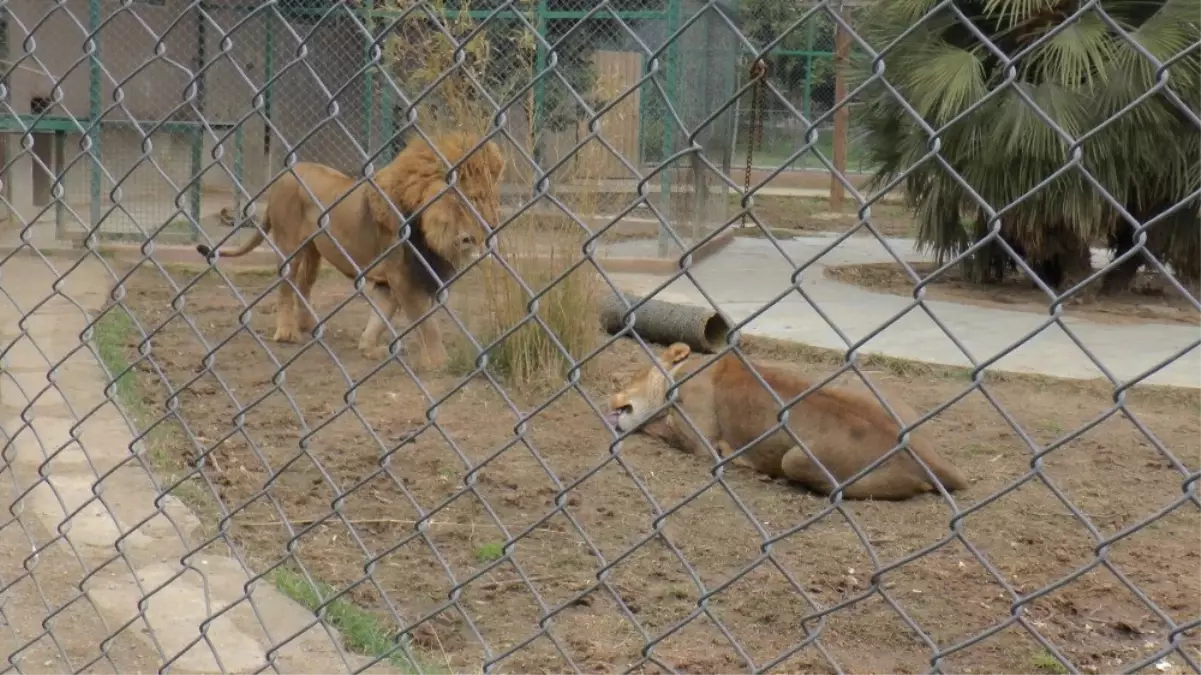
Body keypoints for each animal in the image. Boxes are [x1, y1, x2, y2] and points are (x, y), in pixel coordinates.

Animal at [194, 130, 504, 367]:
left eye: (487, 199)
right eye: (465, 200)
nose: (485, 231)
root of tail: (284, 175)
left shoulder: (392, 282)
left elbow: (380, 316)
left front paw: (369, 347)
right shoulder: (405, 278)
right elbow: (429, 326)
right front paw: (439, 363)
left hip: (314, 251)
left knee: (304, 285)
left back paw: (309, 324)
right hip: (290, 245)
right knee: (286, 285)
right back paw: (287, 332)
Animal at [605, 343, 970, 497]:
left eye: (633, 376)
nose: (612, 395)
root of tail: (932, 459)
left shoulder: (699, 440)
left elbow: (658, 429)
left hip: (797, 458)